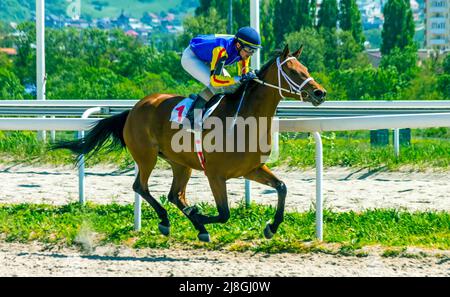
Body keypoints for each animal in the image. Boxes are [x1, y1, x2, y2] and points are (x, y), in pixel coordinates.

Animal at [54, 45, 326, 240]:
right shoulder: (215, 174)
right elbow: (224, 213)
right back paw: (167, 220)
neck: (244, 119)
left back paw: (193, 225)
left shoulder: (251, 169)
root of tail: (134, 109)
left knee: (175, 195)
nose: (320, 92)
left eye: (305, 67)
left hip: (180, 163)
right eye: (292, 71)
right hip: (146, 156)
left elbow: (281, 187)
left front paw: (271, 227)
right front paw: (199, 215)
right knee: (141, 187)